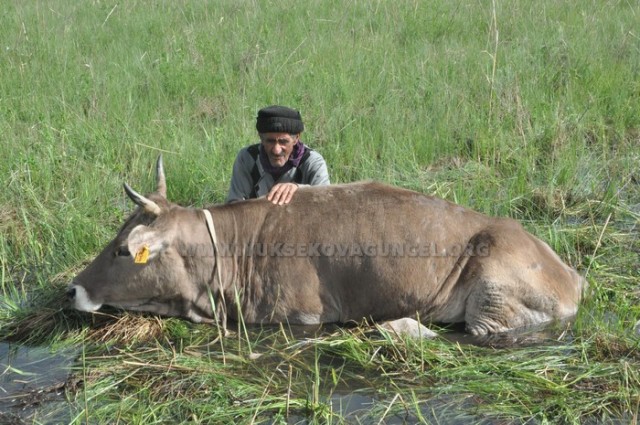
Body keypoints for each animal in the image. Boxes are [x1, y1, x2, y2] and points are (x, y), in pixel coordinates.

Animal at [69, 157, 584, 338]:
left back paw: (398, 326)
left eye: (122, 249)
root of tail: (572, 276)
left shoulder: (302, 316)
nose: (73, 288)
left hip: (492, 299)